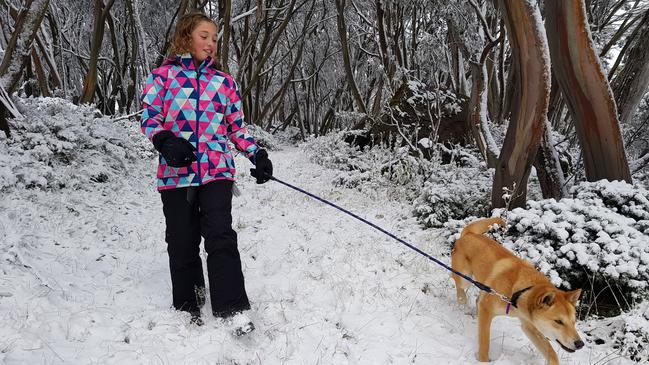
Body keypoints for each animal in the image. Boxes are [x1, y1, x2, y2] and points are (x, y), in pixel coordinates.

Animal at [450, 218, 584, 362]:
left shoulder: (530, 326)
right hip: (464, 279)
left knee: (477, 300)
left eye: (573, 322)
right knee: (461, 291)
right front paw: (483, 360)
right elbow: (484, 343)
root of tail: (469, 234)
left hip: (484, 286)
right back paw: (463, 306)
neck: (519, 292)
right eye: (558, 321)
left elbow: (551, 353)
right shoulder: (487, 309)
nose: (580, 344)